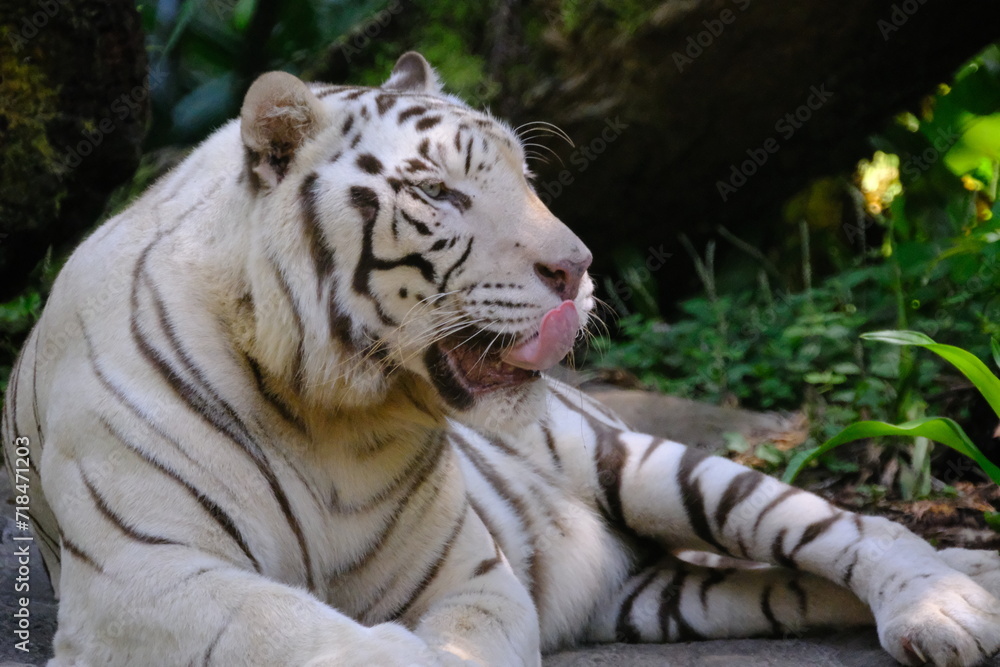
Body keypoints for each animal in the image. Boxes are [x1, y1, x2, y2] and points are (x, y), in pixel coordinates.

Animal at [2, 51, 999, 667]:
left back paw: (948, 609)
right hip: (676, 596)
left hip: (651, 464)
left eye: (524, 177)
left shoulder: (469, 576)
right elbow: (288, 627)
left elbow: (460, 639)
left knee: (857, 530)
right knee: (793, 581)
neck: (331, 411)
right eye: (440, 194)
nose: (580, 266)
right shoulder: (143, 573)